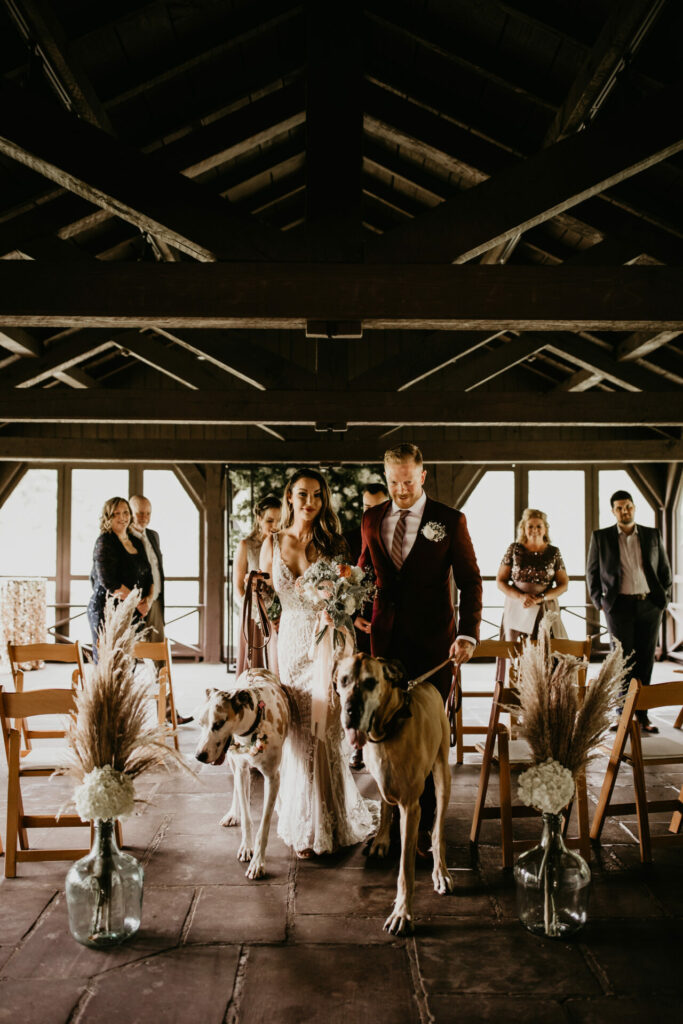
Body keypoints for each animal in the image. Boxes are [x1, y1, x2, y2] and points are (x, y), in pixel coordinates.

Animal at [193, 667, 290, 876]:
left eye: (218, 724)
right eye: (200, 723)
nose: (198, 756)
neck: (250, 731)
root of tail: (256, 668)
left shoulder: (271, 777)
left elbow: (264, 825)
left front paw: (258, 862)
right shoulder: (241, 769)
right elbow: (246, 817)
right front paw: (246, 847)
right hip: (234, 762)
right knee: (239, 790)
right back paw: (232, 813)